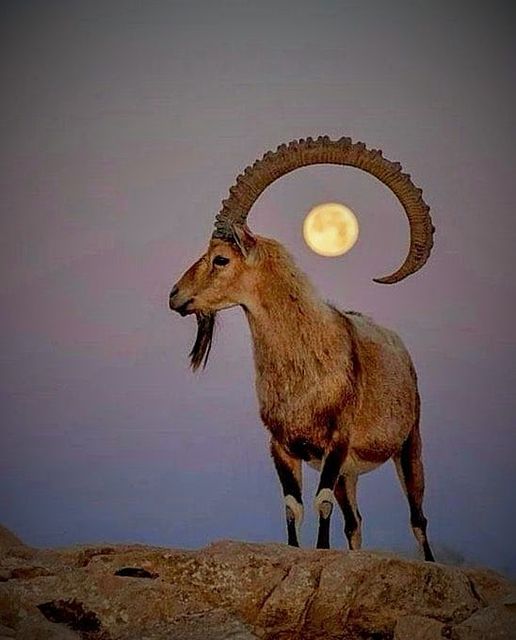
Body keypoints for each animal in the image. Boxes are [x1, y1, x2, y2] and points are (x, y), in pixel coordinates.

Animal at [169, 136, 435, 559]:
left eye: (220, 259)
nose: (175, 297)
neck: (305, 366)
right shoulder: (281, 447)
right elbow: (292, 507)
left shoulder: (336, 442)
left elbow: (320, 503)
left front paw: (321, 552)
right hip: (349, 473)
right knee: (355, 523)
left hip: (409, 445)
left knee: (418, 519)